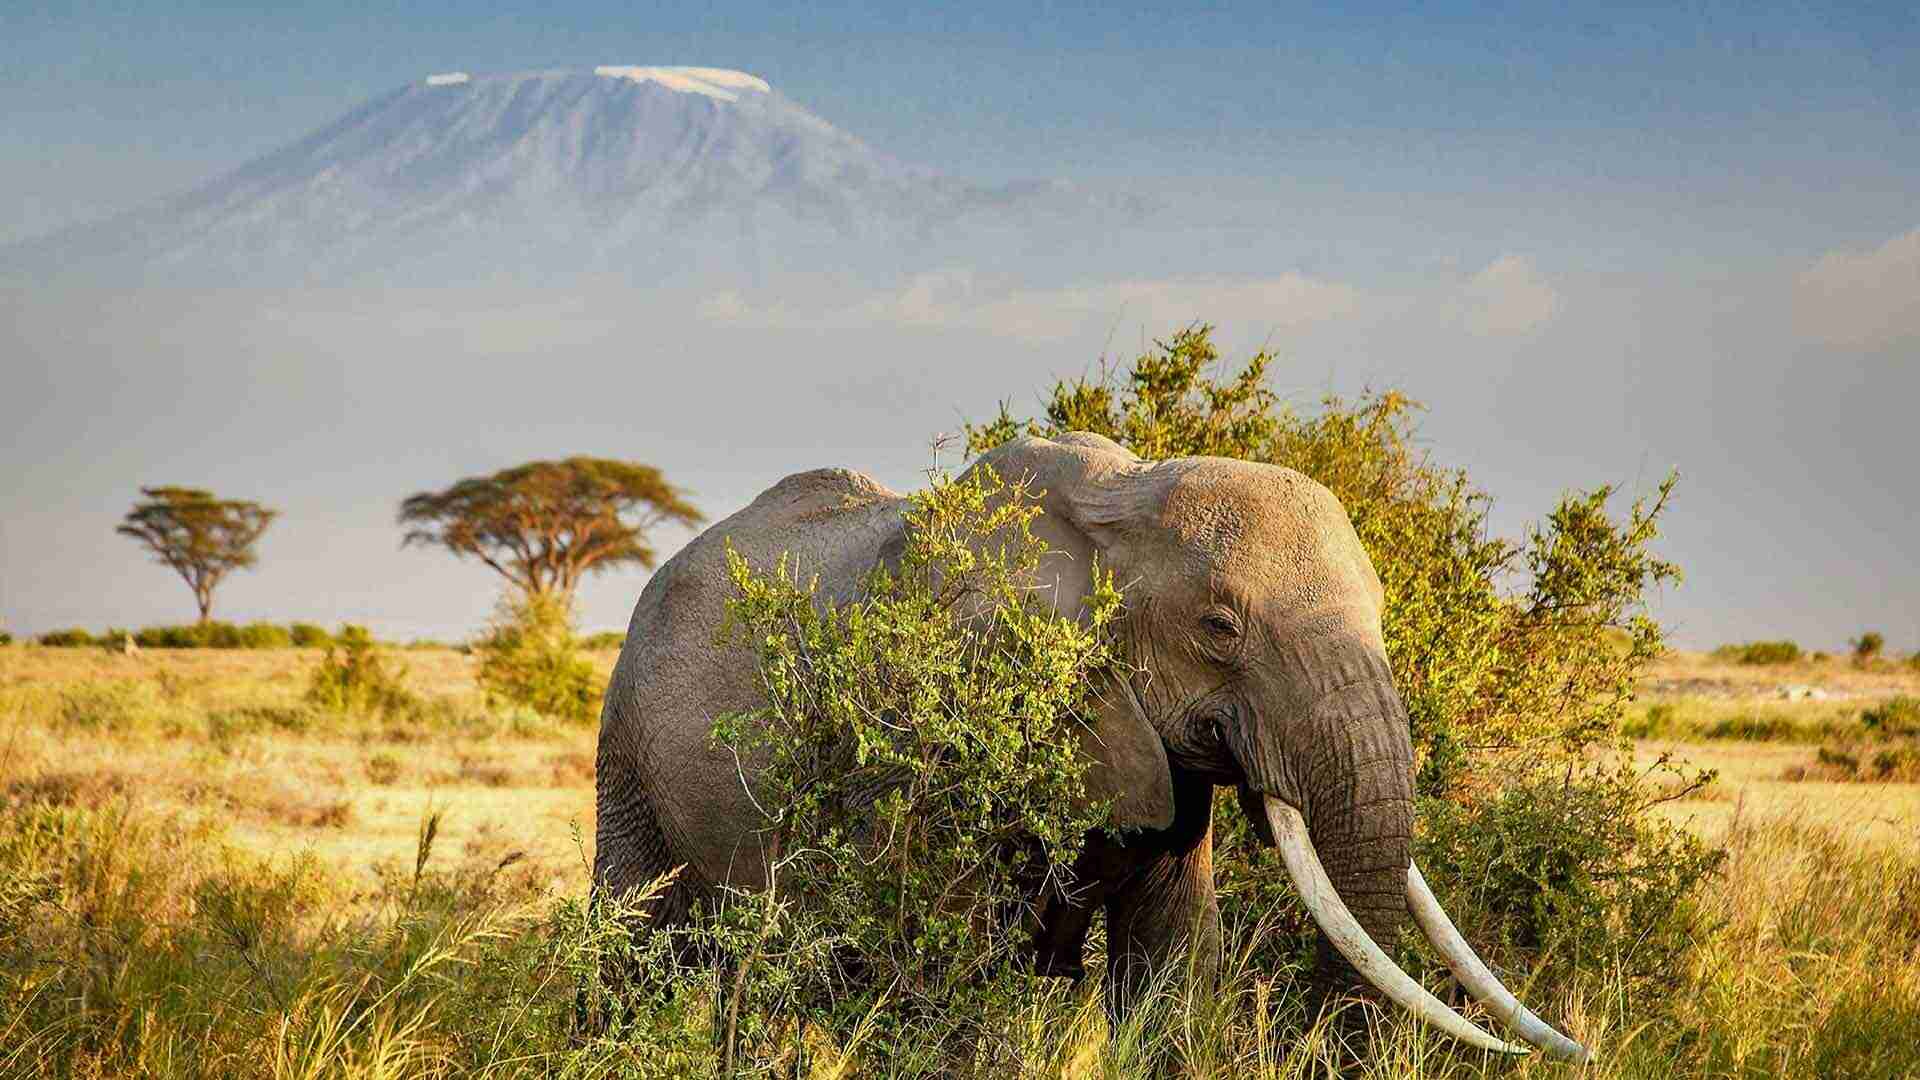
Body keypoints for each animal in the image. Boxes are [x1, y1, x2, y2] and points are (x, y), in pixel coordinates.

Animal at [595, 428, 1589, 1060]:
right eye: (1220, 628)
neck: (1120, 500)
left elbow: (1172, 965)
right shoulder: (929, 724)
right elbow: (940, 971)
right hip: (628, 752)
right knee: (633, 950)